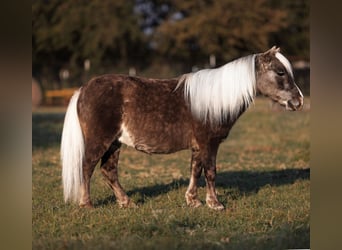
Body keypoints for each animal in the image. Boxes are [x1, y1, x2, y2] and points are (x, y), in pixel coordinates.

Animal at [60, 46, 302, 209]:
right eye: (280, 72)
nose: (298, 101)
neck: (213, 99)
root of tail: (83, 89)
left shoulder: (198, 146)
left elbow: (195, 170)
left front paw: (193, 200)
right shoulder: (209, 143)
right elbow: (210, 171)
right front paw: (215, 203)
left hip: (114, 143)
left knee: (108, 171)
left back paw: (126, 202)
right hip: (100, 141)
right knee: (87, 167)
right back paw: (87, 204)